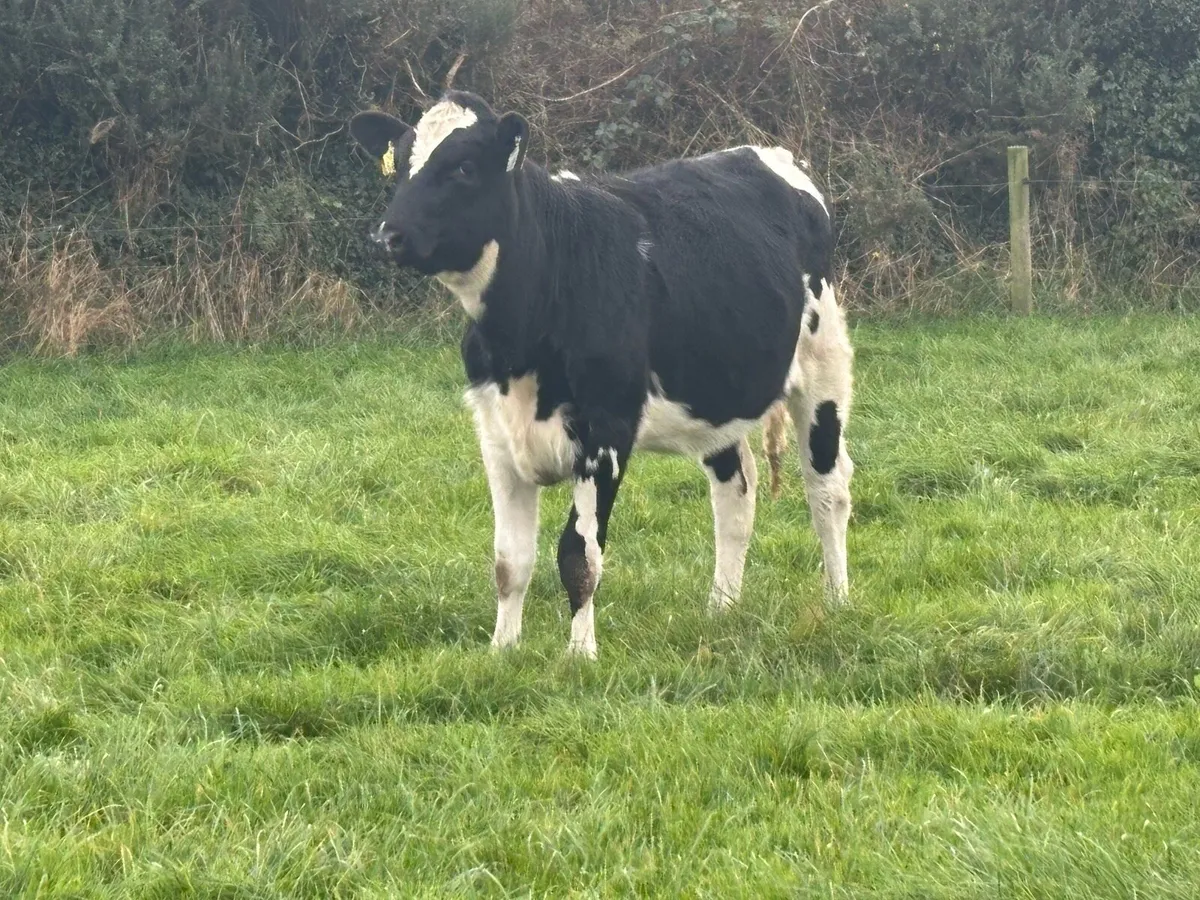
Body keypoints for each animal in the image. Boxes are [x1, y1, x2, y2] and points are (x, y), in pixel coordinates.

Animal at [348, 91, 854, 659]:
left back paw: (837, 601)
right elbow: (508, 561)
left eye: (463, 167)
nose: (389, 235)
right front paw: (502, 652)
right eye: (400, 165)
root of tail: (764, 152)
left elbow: (579, 555)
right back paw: (721, 608)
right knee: (735, 494)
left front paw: (579, 655)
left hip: (823, 364)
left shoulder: (605, 432)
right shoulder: (496, 434)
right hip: (716, 390)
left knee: (828, 487)